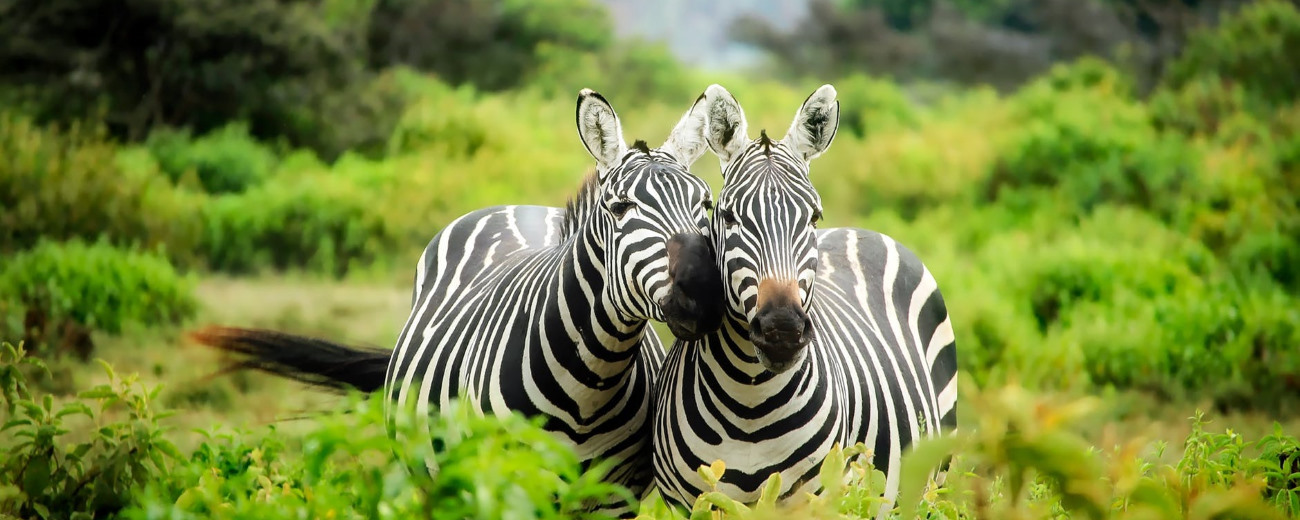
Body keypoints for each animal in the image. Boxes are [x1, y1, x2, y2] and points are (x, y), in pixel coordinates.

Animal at [189, 87, 733, 514]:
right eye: (620, 208)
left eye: (706, 205)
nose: (706, 293)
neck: (590, 384)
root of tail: (517, 206)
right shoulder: (504, 486)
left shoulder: (611, 501)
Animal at [647, 83, 956, 514]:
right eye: (728, 217)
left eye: (813, 217)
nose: (782, 330)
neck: (749, 401)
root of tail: (860, 230)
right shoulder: (691, 503)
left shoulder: (817, 498)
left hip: (933, 479)